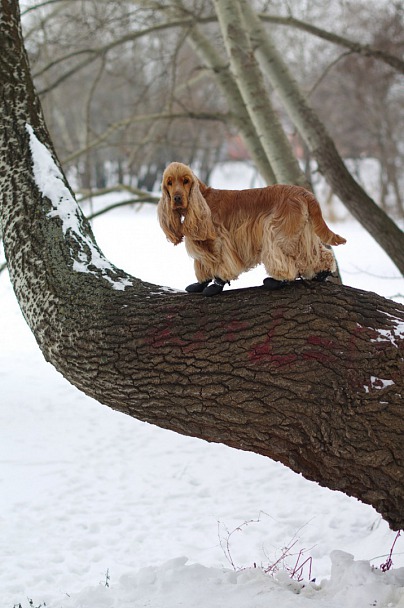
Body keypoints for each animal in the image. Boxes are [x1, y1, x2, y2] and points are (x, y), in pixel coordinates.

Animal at [156, 162, 346, 294]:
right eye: (169, 183)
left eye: (186, 181)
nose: (177, 198)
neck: (203, 201)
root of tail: (305, 193)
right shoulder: (201, 243)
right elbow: (203, 264)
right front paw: (200, 284)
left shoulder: (220, 241)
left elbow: (221, 263)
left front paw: (216, 285)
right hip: (302, 232)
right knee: (319, 254)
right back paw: (321, 274)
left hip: (279, 233)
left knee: (287, 260)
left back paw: (276, 281)